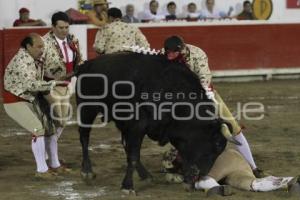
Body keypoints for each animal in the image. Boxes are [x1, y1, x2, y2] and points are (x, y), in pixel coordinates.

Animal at [74, 52, 227, 192]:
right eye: (215, 145)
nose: (200, 177)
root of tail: (87, 64)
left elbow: (132, 152)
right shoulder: (137, 126)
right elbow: (134, 155)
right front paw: (127, 186)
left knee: (125, 145)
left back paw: (145, 175)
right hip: (87, 108)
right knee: (84, 136)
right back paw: (87, 171)